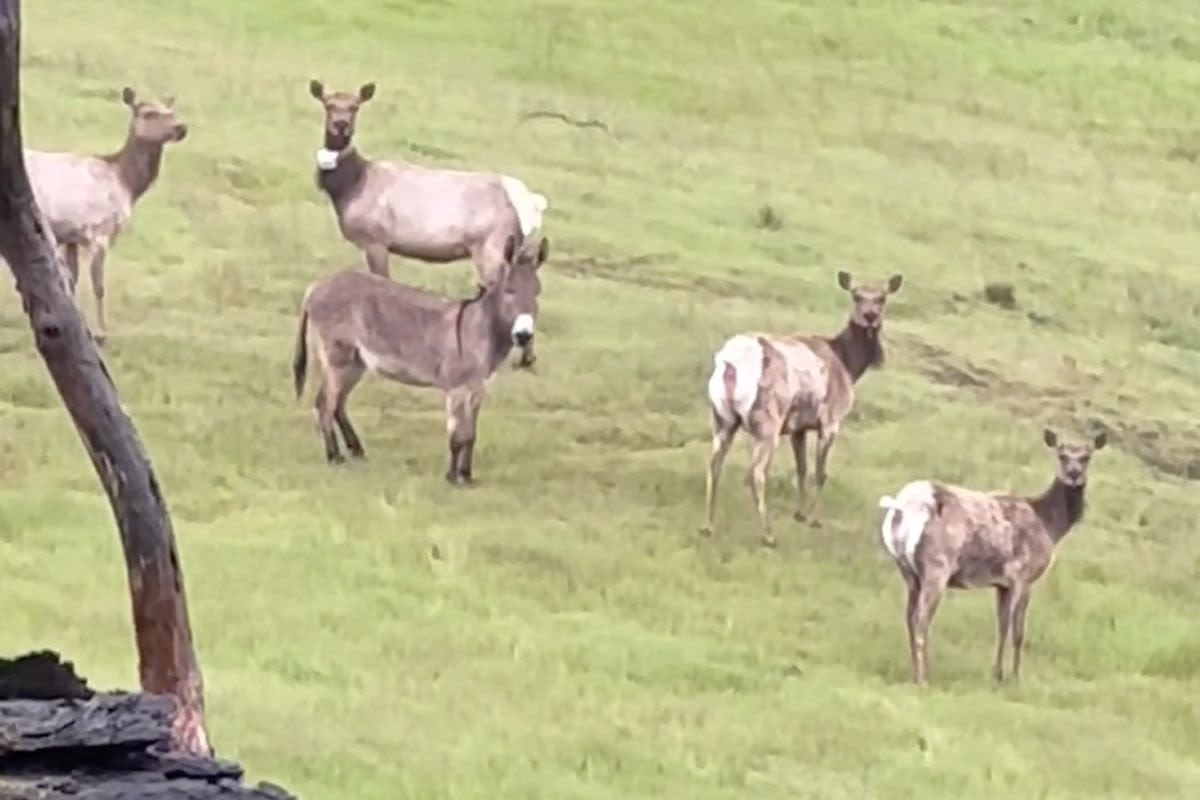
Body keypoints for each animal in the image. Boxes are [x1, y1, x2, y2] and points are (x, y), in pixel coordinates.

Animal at [21, 86, 187, 343]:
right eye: (149, 113)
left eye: (171, 112)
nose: (181, 127)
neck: (125, 183)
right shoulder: (100, 229)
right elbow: (98, 284)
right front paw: (101, 332)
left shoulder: (72, 235)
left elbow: (73, 280)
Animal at [292, 231, 547, 482]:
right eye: (509, 291)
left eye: (537, 293)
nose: (524, 336)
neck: (480, 329)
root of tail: (315, 286)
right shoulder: (458, 389)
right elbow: (457, 436)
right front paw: (452, 478)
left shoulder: (478, 389)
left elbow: (471, 435)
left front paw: (466, 476)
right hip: (338, 360)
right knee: (325, 404)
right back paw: (335, 457)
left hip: (355, 362)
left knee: (337, 404)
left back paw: (356, 451)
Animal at [307, 79, 547, 369]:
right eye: (329, 104)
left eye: (354, 106)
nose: (341, 124)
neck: (351, 186)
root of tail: (532, 205)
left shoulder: (376, 239)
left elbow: (382, 279)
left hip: (492, 246)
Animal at [700, 272, 902, 546]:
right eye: (856, 296)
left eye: (881, 298)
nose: (870, 316)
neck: (849, 365)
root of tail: (730, 365)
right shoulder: (830, 420)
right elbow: (820, 472)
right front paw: (814, 520)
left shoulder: (799, 427)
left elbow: (801, 469)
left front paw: (799, 514)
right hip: (768, 423)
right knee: (756, 473)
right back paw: (768, 535)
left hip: (722, 418)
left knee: (714, 465)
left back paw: (708, 526)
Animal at [878, 429, 1108, 686]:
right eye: (1062, 455)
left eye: (1087, 456)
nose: (1074, 474)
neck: (1049, 525)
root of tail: (901, 506)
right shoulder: (1023, 575)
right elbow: (1018, 632)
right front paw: (1016, 678)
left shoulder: (1002, 583)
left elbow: (1002, 627)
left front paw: (997, 675)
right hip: (936, 566)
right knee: (920, 621)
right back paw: (923, 679)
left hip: (907, 571)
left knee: (909, 619)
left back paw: (914, 673)